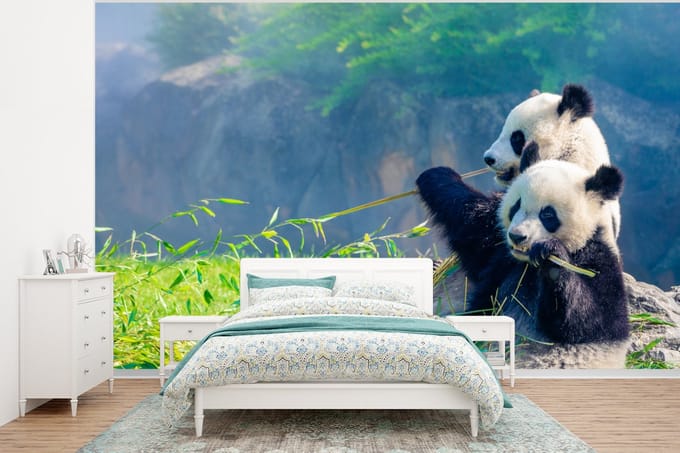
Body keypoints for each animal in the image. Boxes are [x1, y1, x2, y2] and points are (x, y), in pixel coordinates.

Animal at [416, 159, 629, 346]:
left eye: (548, 214)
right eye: (516, 206)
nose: (517, 236)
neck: (527, 263)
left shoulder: (597, 258)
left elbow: (596, 321)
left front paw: (550, 254)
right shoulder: (498, 247)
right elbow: (471, 222)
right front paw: (437, 175)